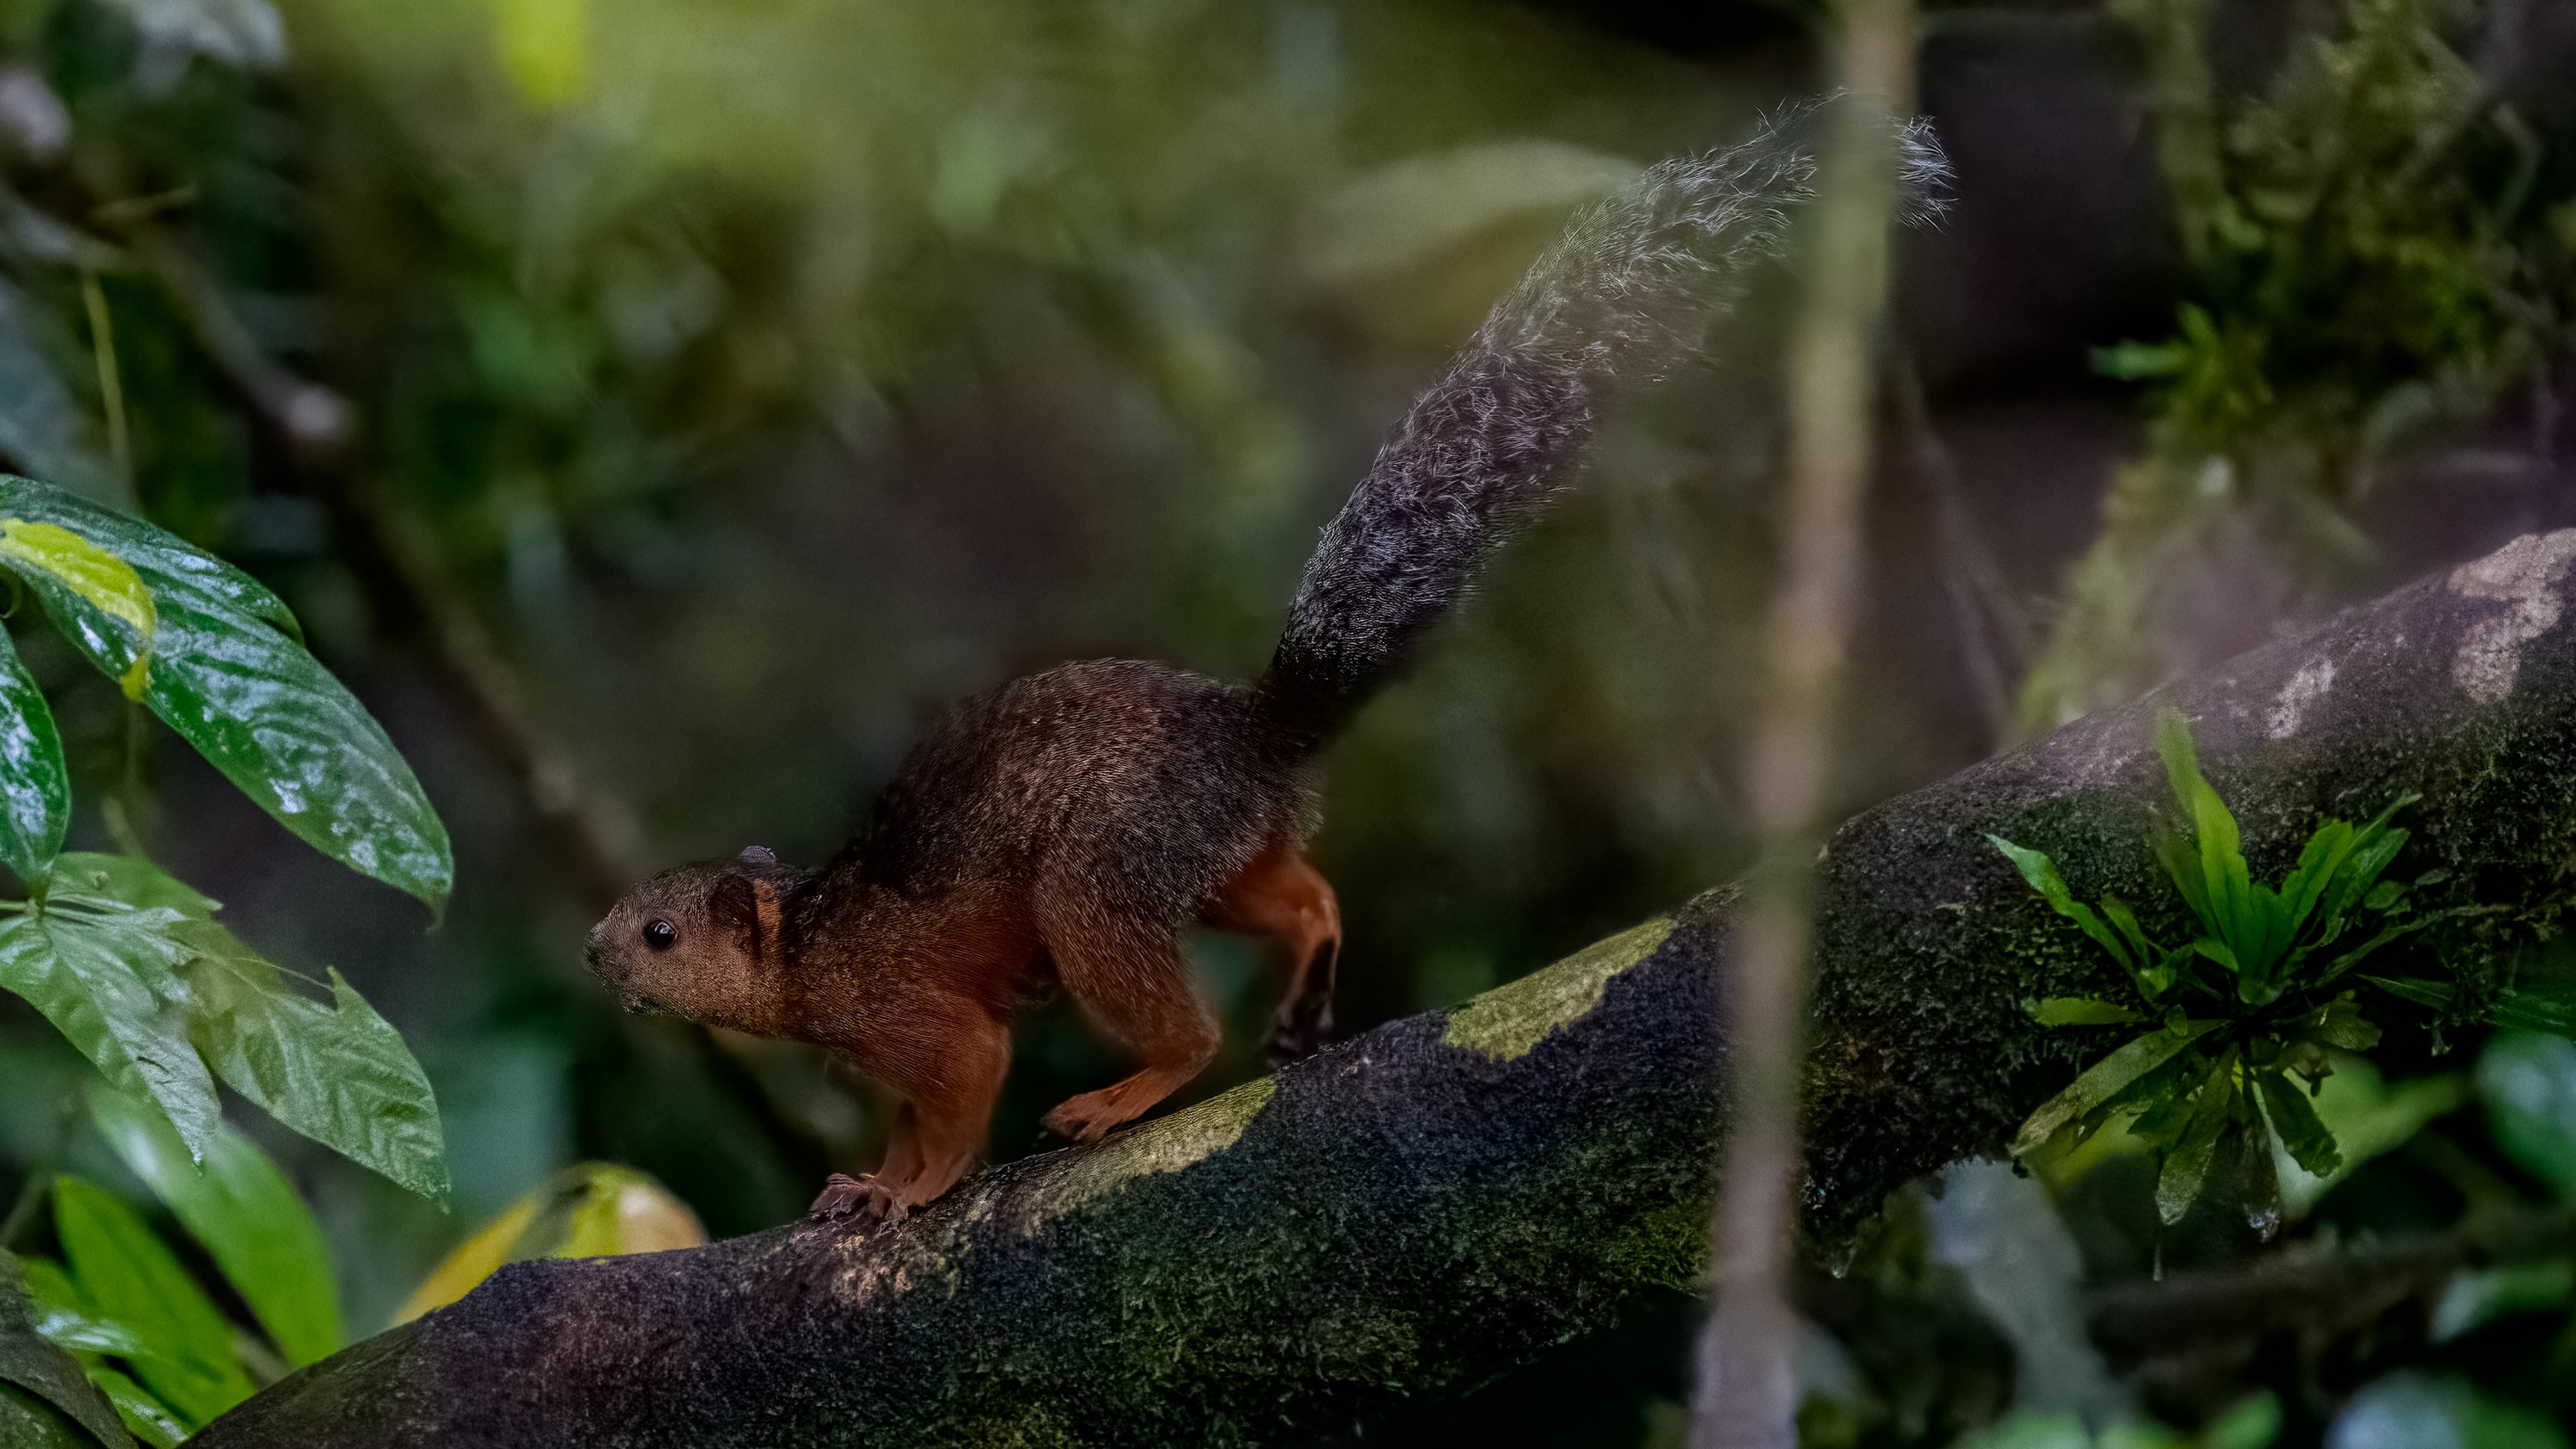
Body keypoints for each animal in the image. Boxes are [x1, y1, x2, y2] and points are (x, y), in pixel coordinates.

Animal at [585, 101, 1949, 1225]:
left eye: (659, 931)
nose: (595, 954)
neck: (807, 943)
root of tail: (1257, 732)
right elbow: (908, 1118)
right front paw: (866, 1177)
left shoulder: (912, 1017)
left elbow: (962, 1095)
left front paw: (899, 1195)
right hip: (1209, 860)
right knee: (1303, 896)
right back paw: (1306, 982)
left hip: (1100, 878)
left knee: (1187, 1023)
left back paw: (1124, 1095)